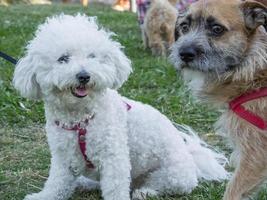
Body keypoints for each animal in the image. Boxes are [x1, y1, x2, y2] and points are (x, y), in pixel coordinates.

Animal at [13, 14, 229, 200]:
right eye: (63, 58)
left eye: (92, 56)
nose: (84, 76)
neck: (81, 120)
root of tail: (192, 157)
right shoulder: (63, 157)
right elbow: (57, 183)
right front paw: (44, 197)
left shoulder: (113, 157)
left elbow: (115, 188)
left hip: (173, 176)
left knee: (160, 185)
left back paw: (146, 192)